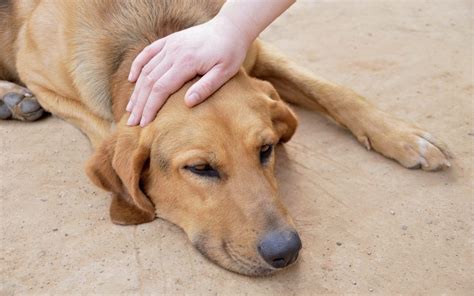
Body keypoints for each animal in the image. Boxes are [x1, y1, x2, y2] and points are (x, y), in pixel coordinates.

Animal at [0, 0, 452, 278]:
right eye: (200, 168)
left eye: (266, 150)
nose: (286, 251)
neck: (154, 32)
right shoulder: (44, 81)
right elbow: (106, 130)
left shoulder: (242, 50)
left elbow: (332, 90)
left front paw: (404, 136)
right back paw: (12, 98)